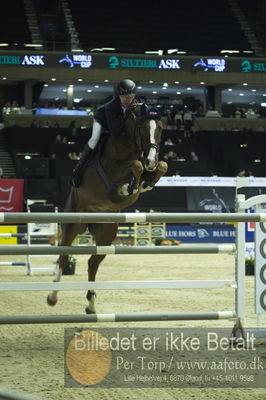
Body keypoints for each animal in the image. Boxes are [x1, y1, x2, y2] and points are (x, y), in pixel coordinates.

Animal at [47, 101, 168, 314]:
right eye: (142, 128)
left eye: (160, 128)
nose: (151, 160)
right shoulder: (112, 171)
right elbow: (135, 166)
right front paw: (128, 186)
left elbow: (163, 166)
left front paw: (145, 182)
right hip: (71, 225)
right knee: (63, 257)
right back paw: (53, 296)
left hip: (107, 232)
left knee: (93, 262)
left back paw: (91, 304)